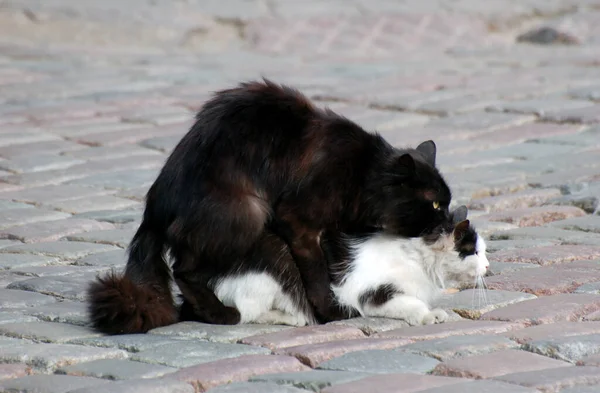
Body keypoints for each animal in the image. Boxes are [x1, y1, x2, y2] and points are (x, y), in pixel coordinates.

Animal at [86, 79, 448, 334]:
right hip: (246, 214)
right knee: (184, 270)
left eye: (446, 203)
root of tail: (153, 205)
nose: (446, 223)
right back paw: (221, 314)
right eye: (433, 204)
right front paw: (331, 312)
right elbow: (317, 274)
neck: (362, 172)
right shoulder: (299, 223)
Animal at [180, 205, 490, 324]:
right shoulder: (373, 293)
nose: (488, 267)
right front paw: (429, 315)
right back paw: (291, 318)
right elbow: (410, 304)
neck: (417, 259)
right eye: (474, 252)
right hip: (270, 265)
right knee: (246, 313)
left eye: (484, 251)